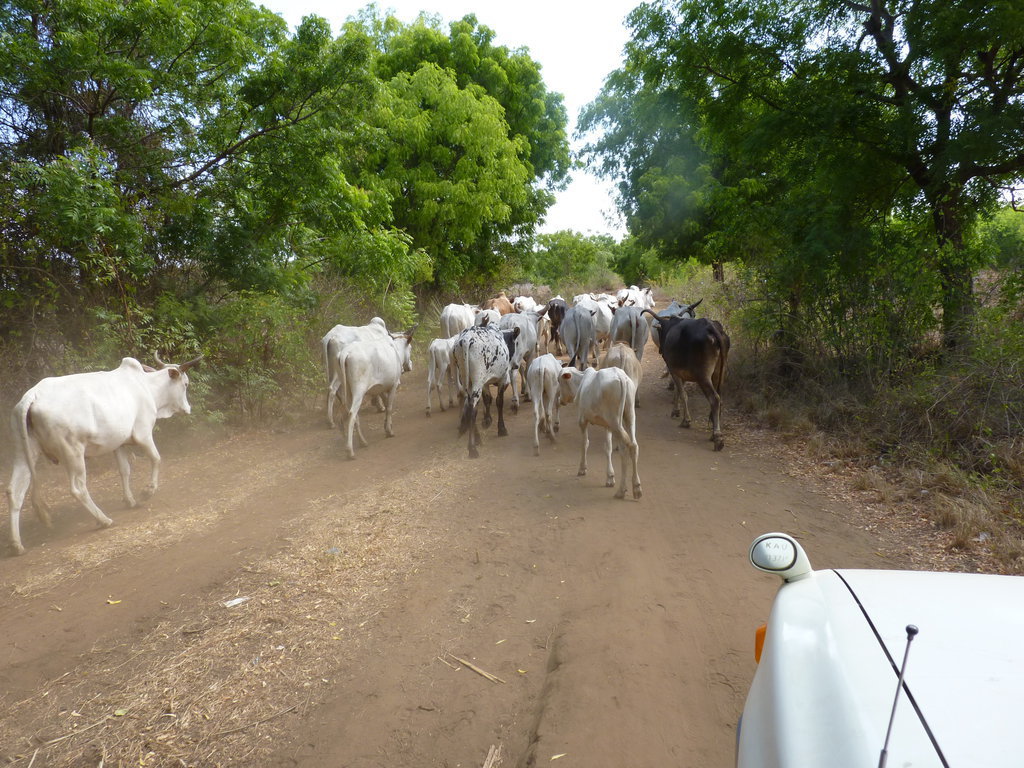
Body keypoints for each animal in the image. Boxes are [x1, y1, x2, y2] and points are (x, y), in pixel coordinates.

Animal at [647, 309, 729, 448]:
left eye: (659, 331)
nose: (660, 351)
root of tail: (711, 327)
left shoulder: (673, 369)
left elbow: (683, 394)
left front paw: (685, 420)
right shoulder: (680, 372)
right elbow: (678, 391)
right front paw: (676, 411)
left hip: (703, 376)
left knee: (715, 399)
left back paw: (717, 437)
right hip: (719, 373)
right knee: (720, 399)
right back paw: (714, 433)